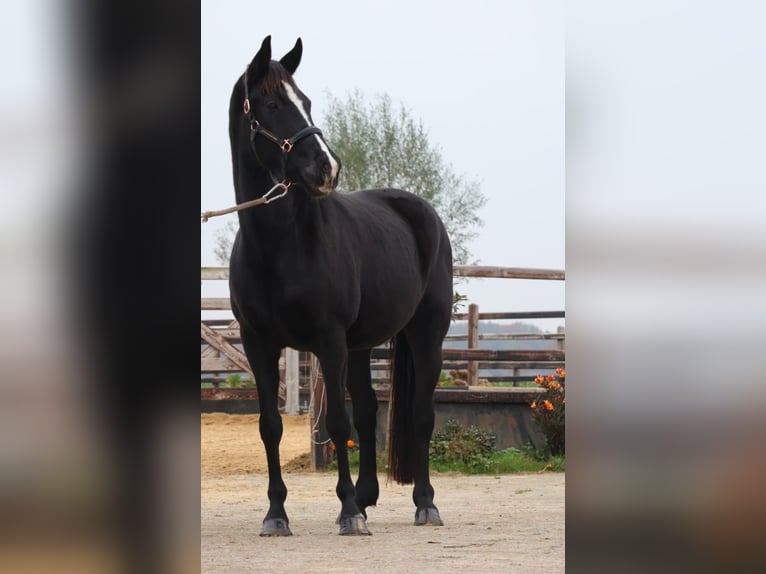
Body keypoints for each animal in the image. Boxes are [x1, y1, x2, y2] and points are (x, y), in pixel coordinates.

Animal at [231, 37, 452, 540]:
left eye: (307, 101)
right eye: (273, 104)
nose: (327, 169)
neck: (278, 245)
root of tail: (422, 213)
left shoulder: (327, 340)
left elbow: (335, 421)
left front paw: (349, 511)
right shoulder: (258, 343)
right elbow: (270, 426)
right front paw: (277, 513)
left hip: (425, 333)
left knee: (421, 415)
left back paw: (424, 503)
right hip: (360, 346)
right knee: (369, 412)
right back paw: (368, 498)